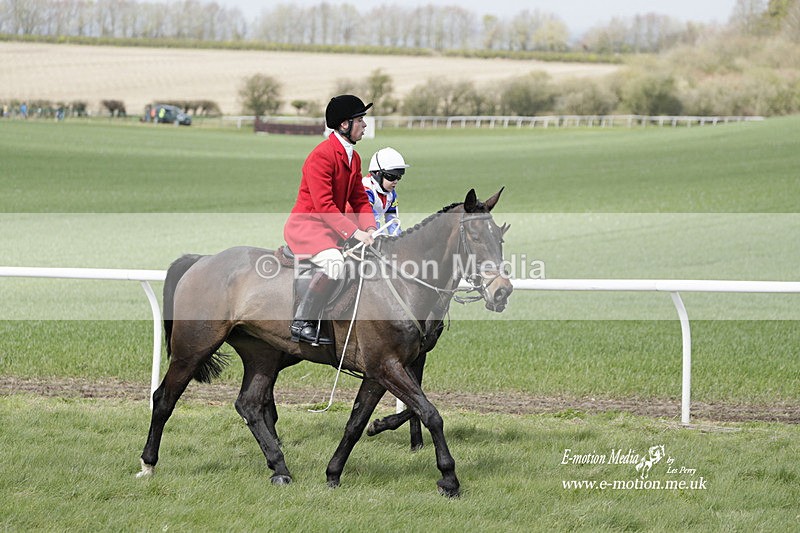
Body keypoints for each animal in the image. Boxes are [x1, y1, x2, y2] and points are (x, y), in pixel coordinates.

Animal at [137, 188, 513, 497]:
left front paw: (334, 472)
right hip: (193, 349)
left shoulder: (381, 371)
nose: (502, 291)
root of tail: (201, 260)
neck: (401, 281)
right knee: (164, 398)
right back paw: (148, 463)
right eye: (475, 236)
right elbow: (430, 413)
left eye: (500, 238)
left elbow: (357, 423)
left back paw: (280, 468)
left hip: (262, 354)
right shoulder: (387, 366)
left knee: (249, 405)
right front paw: (449, 478)